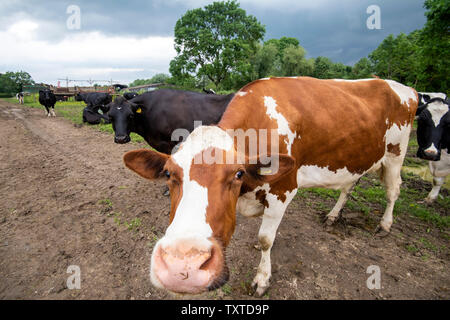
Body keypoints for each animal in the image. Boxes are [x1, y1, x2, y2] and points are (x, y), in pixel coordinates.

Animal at [123, 77, 418, 296]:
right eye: (169, 173)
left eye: (238, 173)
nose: (182, 267)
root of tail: (406, 88)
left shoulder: (283, 189)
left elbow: (266, 238)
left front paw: (262, 278)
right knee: (349, 186)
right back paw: (334, 216)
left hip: (396, 154)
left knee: (394, 190)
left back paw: (385, 225)